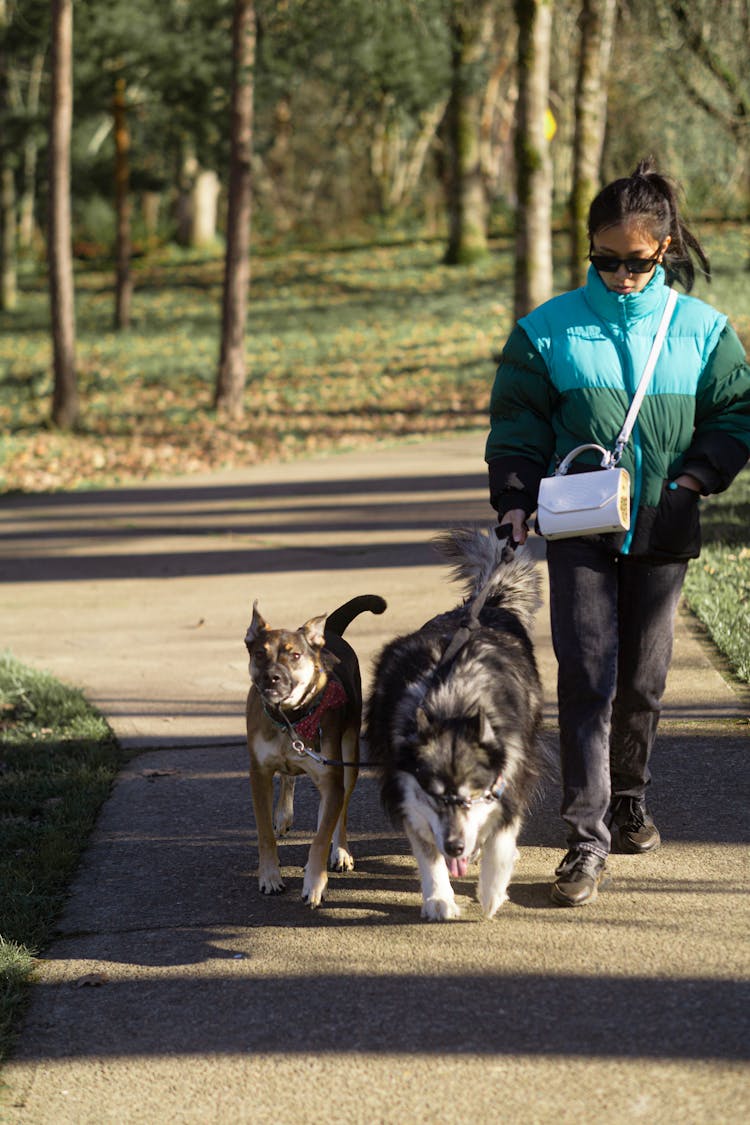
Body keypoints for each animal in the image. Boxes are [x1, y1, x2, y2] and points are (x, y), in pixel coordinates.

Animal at [246, 594, 386, 909]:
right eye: (259, 654)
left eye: (295, 656)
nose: (272, 677)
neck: (290, 719)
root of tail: (330, 632)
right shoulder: (259, 774)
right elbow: (264, 833)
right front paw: (269, 876)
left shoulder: (331, 781)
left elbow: (321, 837)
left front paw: (314, 883)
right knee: (289, 777)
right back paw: (283, 815)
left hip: (349, 755)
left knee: (338, 813)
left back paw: (341, 852)